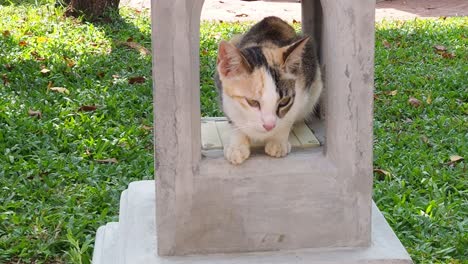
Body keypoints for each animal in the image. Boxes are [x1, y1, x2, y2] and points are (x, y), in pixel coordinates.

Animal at [215, 15, 322, 164]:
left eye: (284, 102)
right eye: (252, 102)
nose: (269, 126)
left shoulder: (302, 88)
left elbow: (289, 116)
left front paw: (278, 141)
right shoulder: (222, 93)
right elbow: (234, 119)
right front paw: (237, 145)